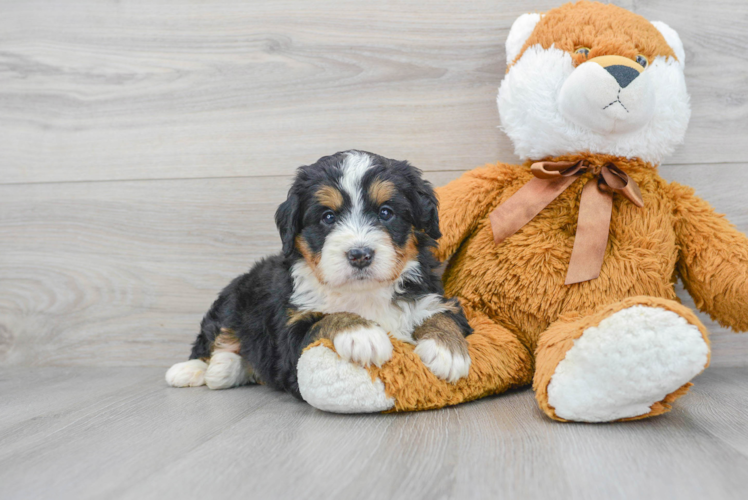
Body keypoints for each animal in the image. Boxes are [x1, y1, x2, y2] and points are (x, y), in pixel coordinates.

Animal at [167, 149, 474, 398]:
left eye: (386, 212)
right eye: (328, 217)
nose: (359, 254)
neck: (364, 293)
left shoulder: (434, 295)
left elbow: (442, 315)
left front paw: (447, 350)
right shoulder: (290, 340)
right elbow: (326, 319)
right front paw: (363, 333)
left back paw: (224, 368)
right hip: (233, 298)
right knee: (215, 336)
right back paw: (194, 370)